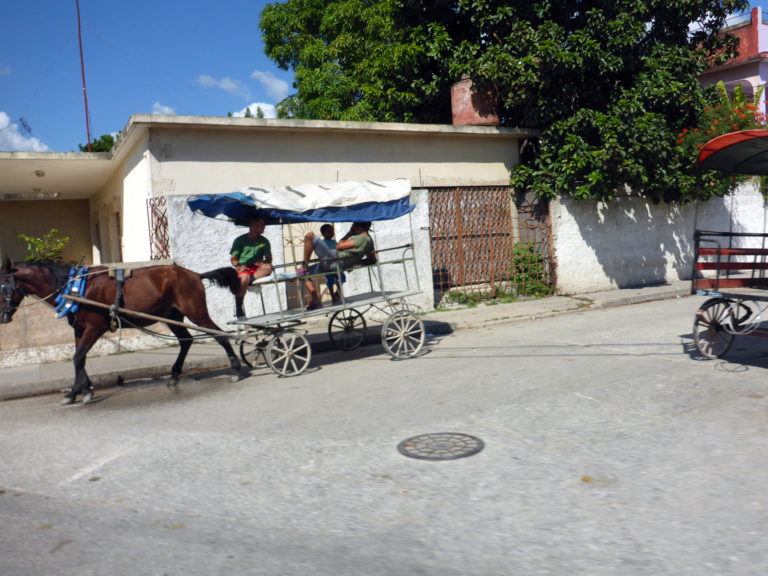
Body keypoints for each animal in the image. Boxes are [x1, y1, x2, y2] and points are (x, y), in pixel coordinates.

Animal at [0, 260, 242, 404]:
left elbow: (78, 358)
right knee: (186, 341)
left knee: (220, 336)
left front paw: (83, 391)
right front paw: (79, 390)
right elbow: (79, 358)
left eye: (1, 287)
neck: (76, 289)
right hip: (172, 316)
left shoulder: (95, 327)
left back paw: (237, 369)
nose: (3, 317)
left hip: (195, 311)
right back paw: (174, 376)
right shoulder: (80, 330)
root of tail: (194, 275)